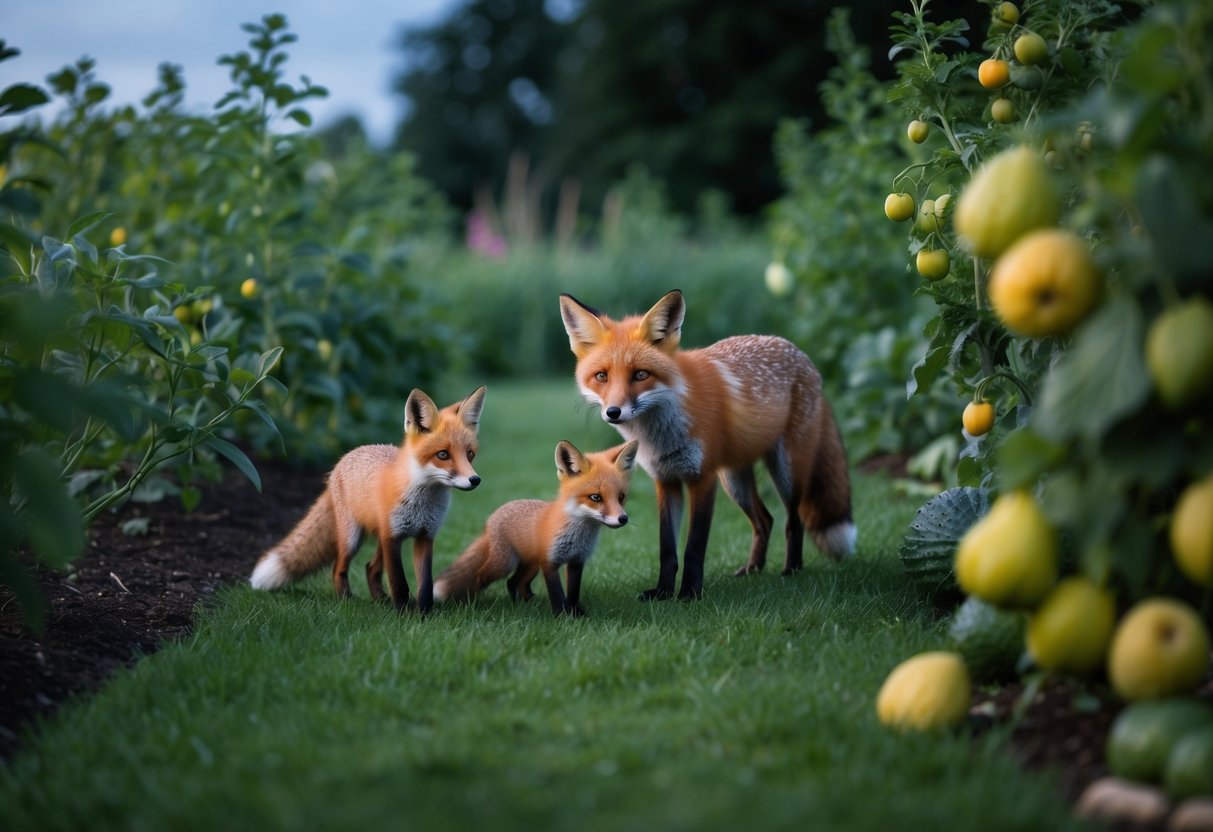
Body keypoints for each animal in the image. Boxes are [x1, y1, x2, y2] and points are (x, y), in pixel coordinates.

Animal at [249, 386, 486, 613]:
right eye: (443, 455)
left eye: (470, 454)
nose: (475, 480)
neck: (423, 503)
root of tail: (344, 458)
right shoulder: (392, 537)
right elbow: (399, 582)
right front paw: (403, 614)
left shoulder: (425, 536)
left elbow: (425, 585)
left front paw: (425, 614)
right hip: (353, 538)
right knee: (338, 567)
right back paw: (346, 600)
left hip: (379, 536)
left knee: (370, 567)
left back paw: (380, 600)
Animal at [434, 439, 640, 617]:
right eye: (596, 497)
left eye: (621, 497)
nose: (622, 519)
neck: (579, 535)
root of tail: (494, 516)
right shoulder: (549, 561)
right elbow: (557, 594)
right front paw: (561, 617)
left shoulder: (576, 560)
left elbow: (573, 592)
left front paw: (575, 613)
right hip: (504, 564)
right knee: (480, 576)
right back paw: (472, 602)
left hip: (530, 564)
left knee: (514, 582)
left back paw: (523, 604)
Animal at [559, 289, 855, 601]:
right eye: (602, 376)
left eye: (640, 374)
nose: (613, 412)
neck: (662, 435)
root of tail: (802, 355)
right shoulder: (666, 480)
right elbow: (667, 548)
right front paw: (663, 592)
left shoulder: (703, 478)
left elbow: (694, 548)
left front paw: (689, 593)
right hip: (735, 480)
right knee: (765, 520)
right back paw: (753, 569)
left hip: (785, 471)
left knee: (793, 521)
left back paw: (792, 570)